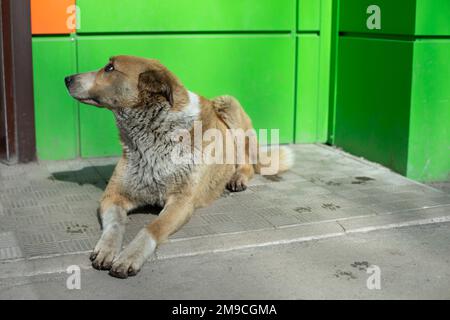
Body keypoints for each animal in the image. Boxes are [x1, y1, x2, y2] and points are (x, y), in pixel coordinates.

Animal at [65, 55, 294, 278]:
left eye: (110, 68)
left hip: (228, 103)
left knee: (248, 163)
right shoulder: (113, 195)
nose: (67, 78)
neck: (154, 135)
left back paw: (237, 178)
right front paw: (107, 249)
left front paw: (130, 256)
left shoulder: (182, 202)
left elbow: (152, 228)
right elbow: (115, 224)